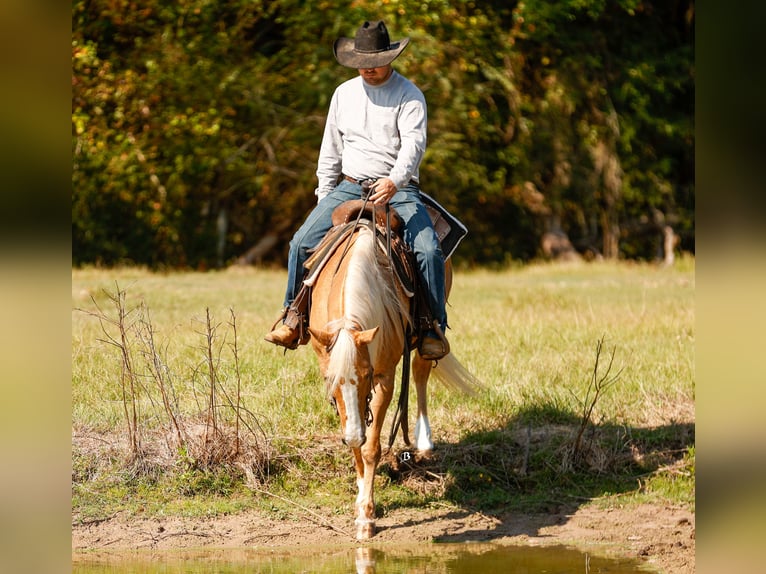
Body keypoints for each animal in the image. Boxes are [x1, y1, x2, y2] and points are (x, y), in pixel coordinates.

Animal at [306, 208, 480, 539]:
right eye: (329, 383)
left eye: (367, 375)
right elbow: (356, 442)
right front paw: (360, 499)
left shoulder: (385, 378)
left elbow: (371, 447)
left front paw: (366, 516)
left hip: (428, 335)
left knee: (421, 373)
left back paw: (424, 440)